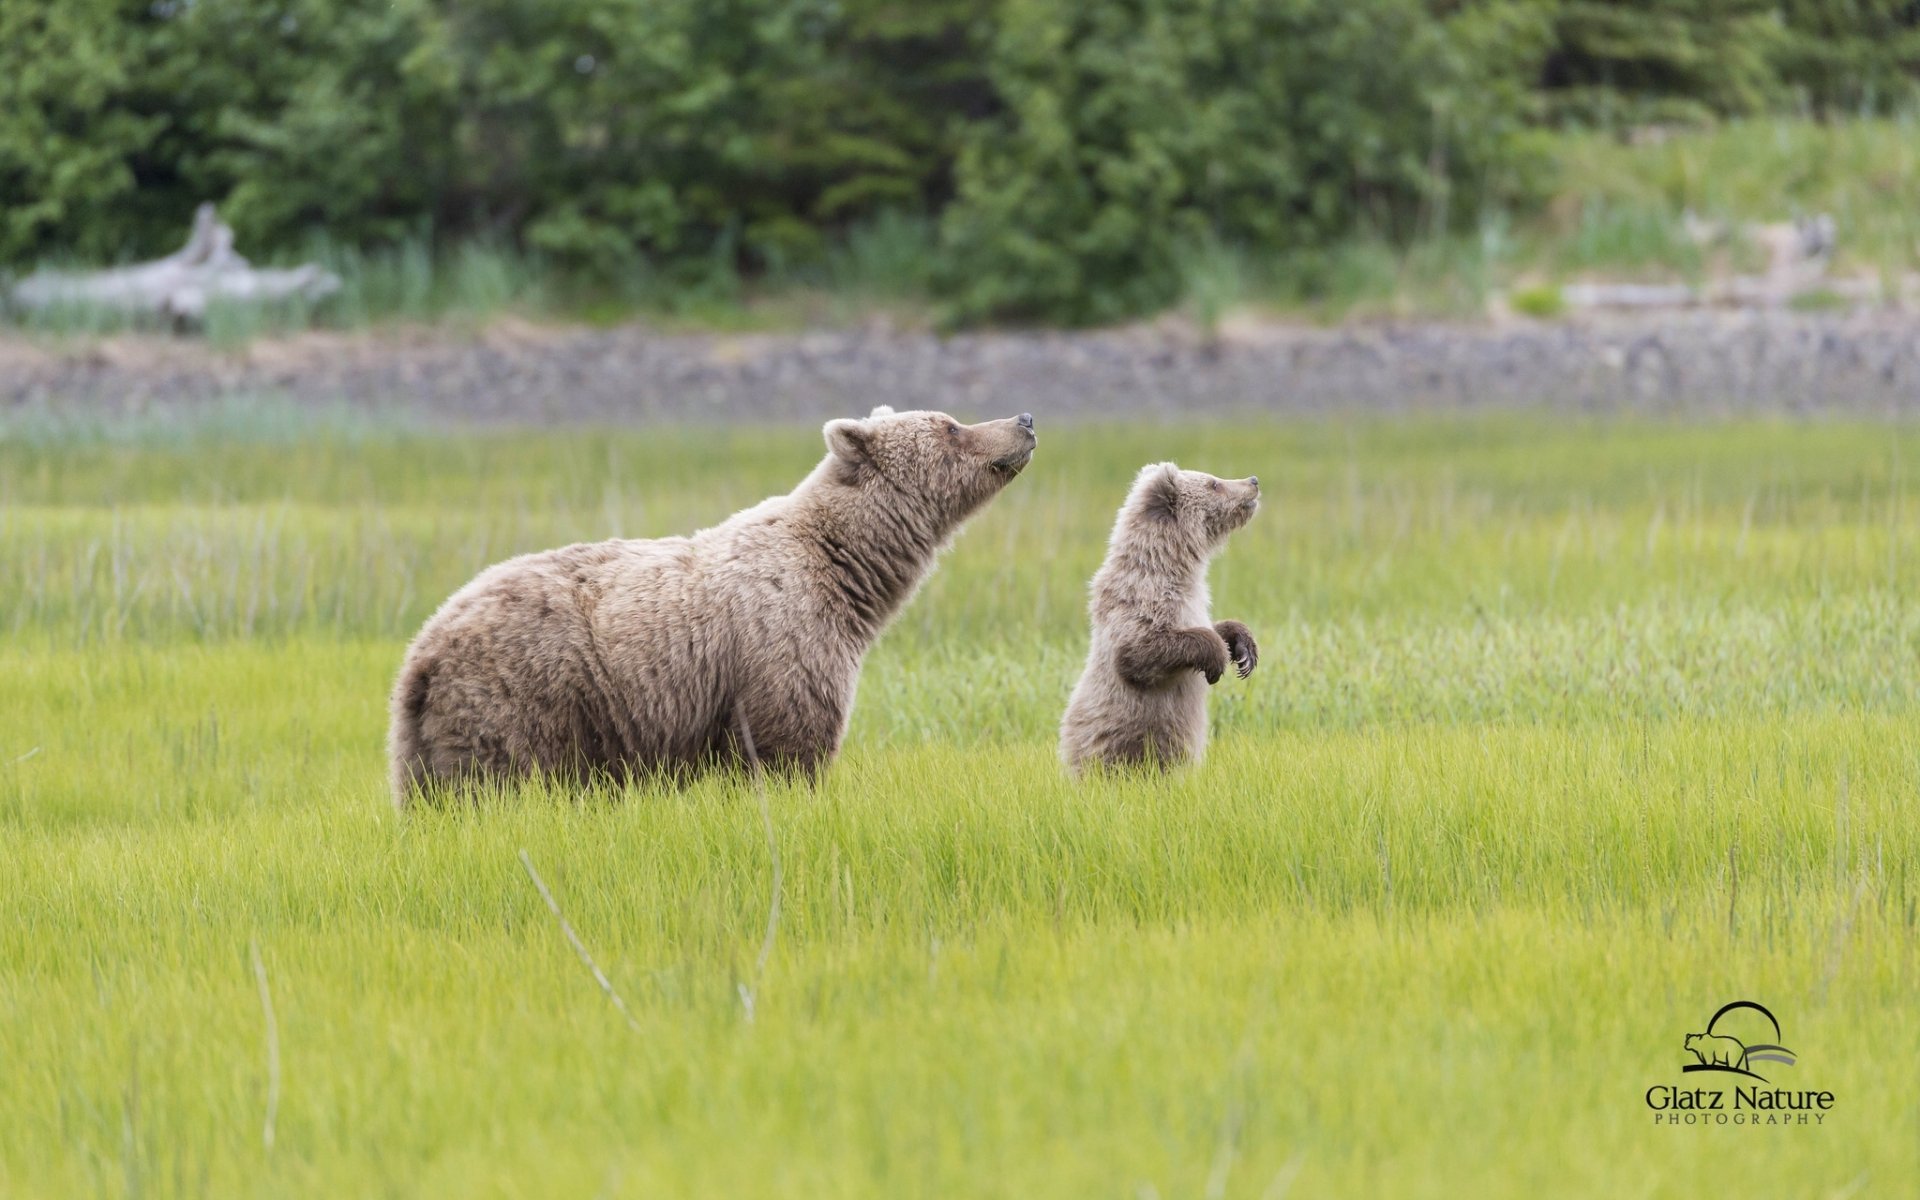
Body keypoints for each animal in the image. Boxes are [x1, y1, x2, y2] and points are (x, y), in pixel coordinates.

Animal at [388, 406, 1037, 804]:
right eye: (950, 426)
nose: (1025, 420)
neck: (849, 574)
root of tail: (424, 648)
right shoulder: (782, 646)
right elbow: (788, 748)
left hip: (426, 743)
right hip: (524, 698)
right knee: (499, 787)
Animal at [1059, 462, 1260, 773]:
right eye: (1214, 484)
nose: (1253, 481)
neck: (1172, 564)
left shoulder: (1193, 602)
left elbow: (1209, 626)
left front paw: (1243, 649)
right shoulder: (1141, 597)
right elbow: (1140, 651)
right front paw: (1216, 660)